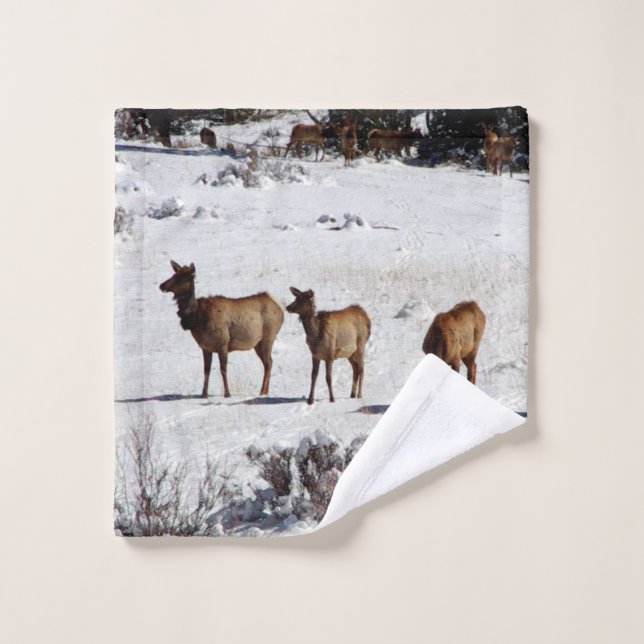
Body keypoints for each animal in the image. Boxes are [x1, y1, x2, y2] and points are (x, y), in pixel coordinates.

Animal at [159, 261, 284, 399]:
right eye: (174, 274)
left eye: (181, 278)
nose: (162, 285)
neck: (197, 318)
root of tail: (279, 307)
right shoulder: (206, 347)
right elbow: (206, 371)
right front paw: (204, 394)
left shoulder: (223, 344)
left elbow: (223, 369)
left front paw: (227, 394)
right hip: (257, 343)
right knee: (268, 362)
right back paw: (264, 392)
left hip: (269, 336)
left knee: (268, 362)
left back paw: (262, 392)